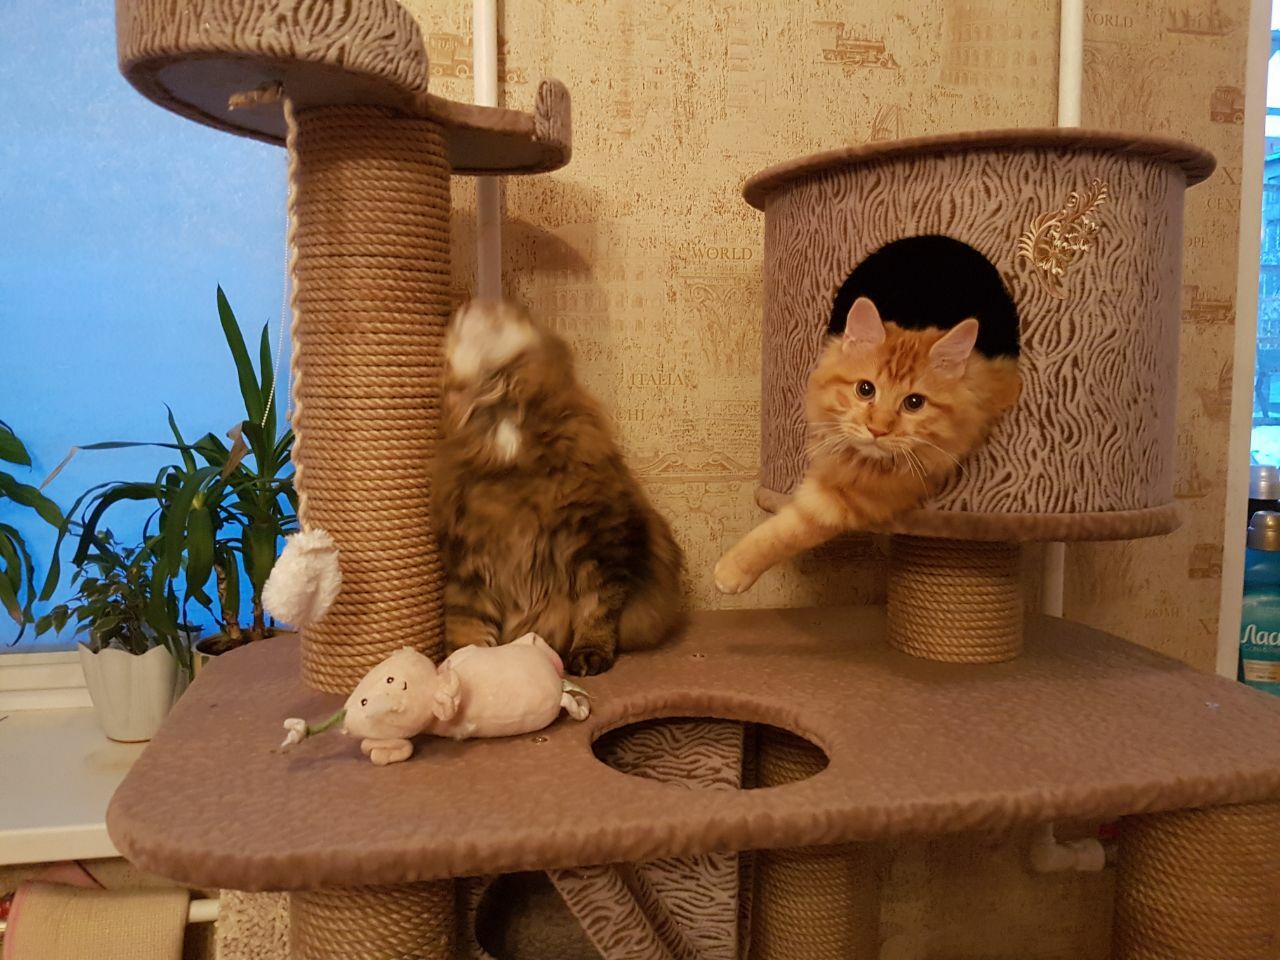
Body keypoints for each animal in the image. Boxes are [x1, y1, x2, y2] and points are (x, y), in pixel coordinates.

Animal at [433, 299, 686, 676]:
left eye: (514, 312)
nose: (481, 300)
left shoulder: (602, 546)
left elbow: (596, 610)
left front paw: (589, 654)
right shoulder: (469, 563)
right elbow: (467, 625)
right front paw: (466, 664)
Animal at [714, 295, 1021, 594]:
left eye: (914, 402)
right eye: (865, 389)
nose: (878, 430)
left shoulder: (855, 499)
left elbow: (787, 530)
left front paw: (731, 570)